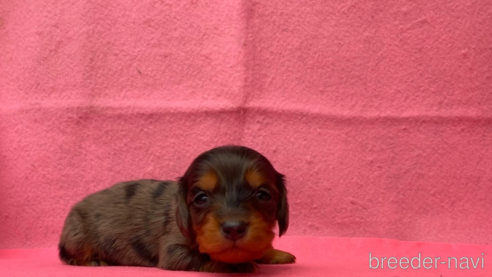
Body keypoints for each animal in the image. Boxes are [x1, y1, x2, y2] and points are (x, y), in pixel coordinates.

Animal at [59, 144, 294, 272]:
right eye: (201, 198)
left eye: (263, 195)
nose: (234, 228)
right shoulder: (174, 251)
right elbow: (206, 257)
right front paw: (237, 265)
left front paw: (274, 253)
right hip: (77, 236)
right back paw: (95, 261)